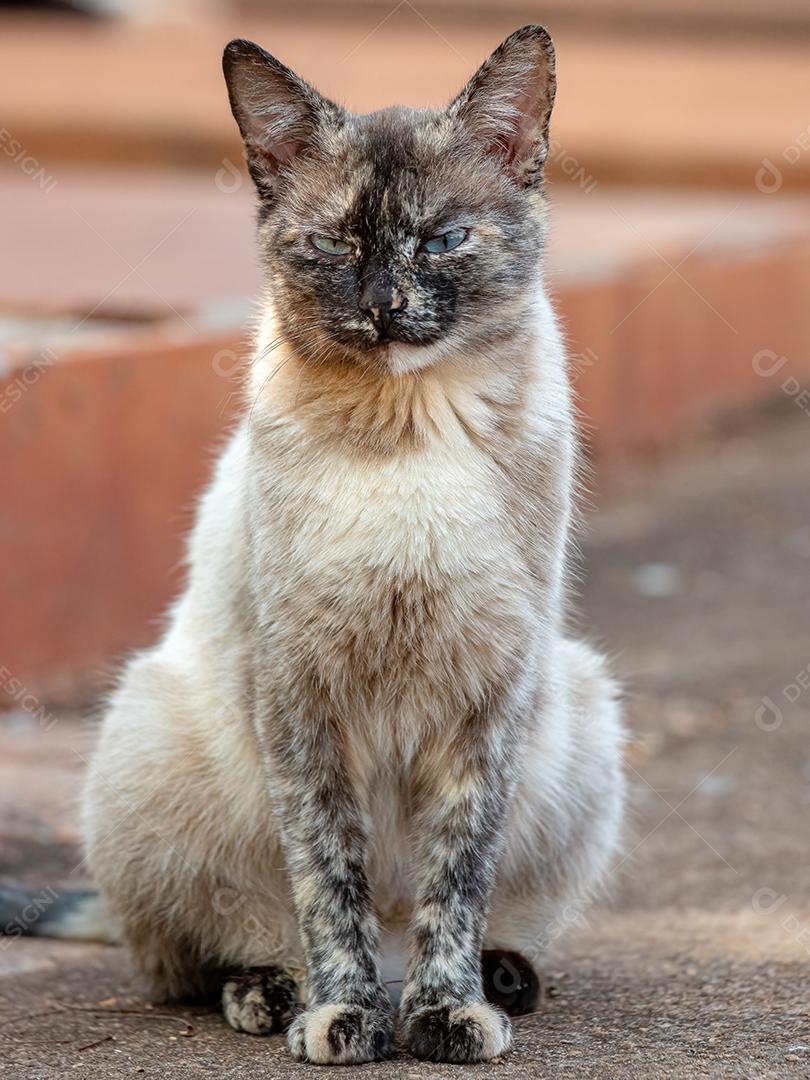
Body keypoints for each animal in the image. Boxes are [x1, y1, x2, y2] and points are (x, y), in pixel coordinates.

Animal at [7, 23, 626, 1062]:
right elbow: (328, 885)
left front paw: (446, 1017)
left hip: (577, 706)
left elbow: (456, 885)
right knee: (204, 949)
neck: (411, 426)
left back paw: (498, 982)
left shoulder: (489, 694)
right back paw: (275, 995)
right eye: (335, 245)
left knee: (450, 918)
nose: (384, 306)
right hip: (157, 733)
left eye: (443, 239)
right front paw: (346, 1020)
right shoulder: (301, 698)